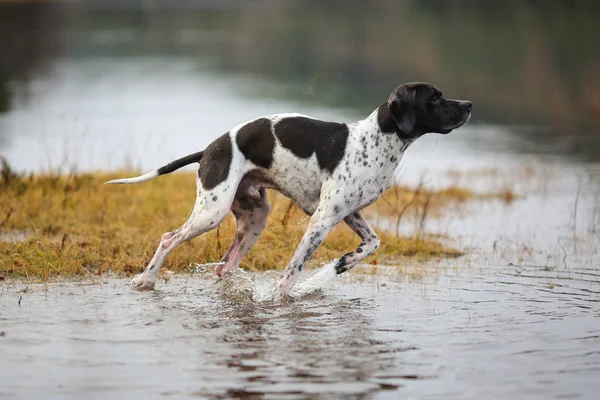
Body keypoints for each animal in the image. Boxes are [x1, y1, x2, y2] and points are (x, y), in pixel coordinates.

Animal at [108, 82, 474, 296]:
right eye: (435, 98)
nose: (469, 104)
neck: (377, 142)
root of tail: (210, 148)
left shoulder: (348, 213)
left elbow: (372, 243)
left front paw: (342, 263)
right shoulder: (321, 221)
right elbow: (291, 274)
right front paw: (283, 297)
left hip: (255, 219)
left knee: (224, 266)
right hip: (211, 213)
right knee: (168, 239)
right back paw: (146, 280)